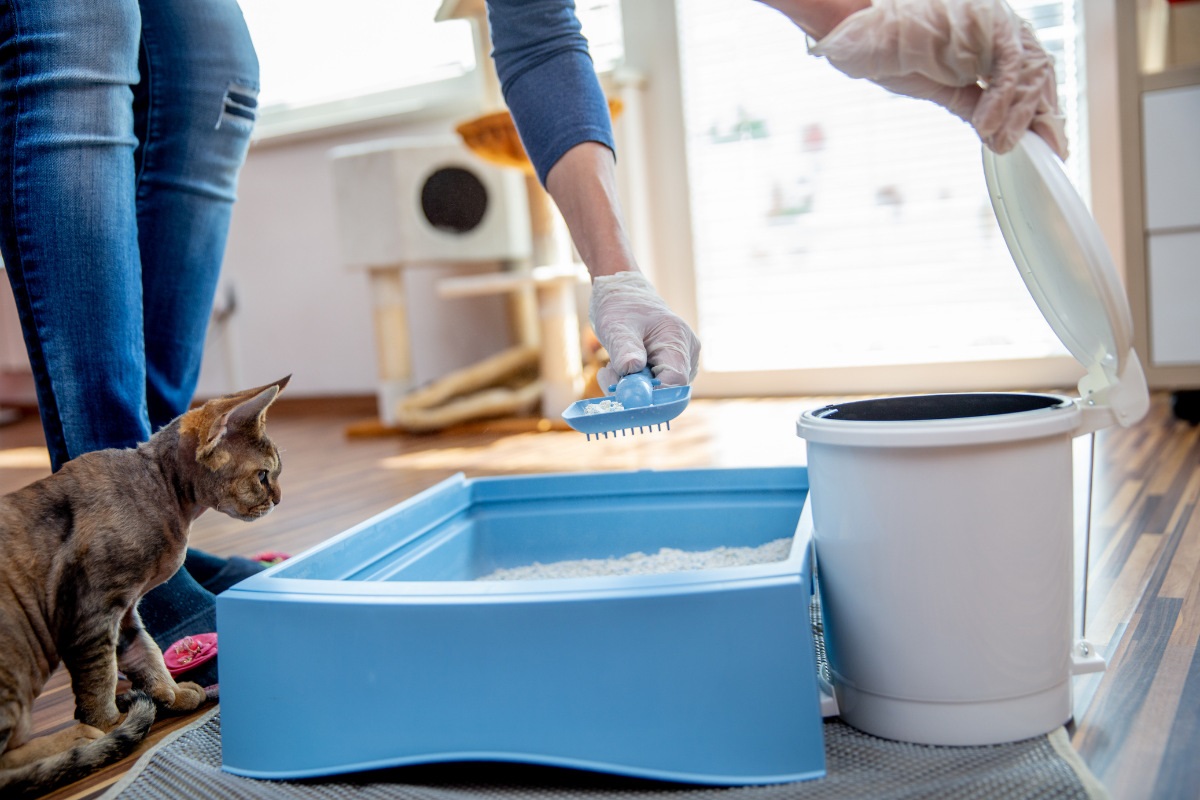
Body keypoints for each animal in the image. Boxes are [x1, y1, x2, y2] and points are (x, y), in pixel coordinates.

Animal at [0, 376, 290, 800]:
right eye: (264, 476)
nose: (279, 500)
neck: (164, 496)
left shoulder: (124, 612)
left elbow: (146, 652)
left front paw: (170, 693)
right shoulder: (93, 612)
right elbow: (99, 678)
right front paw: (109, 723)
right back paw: (78, 738)